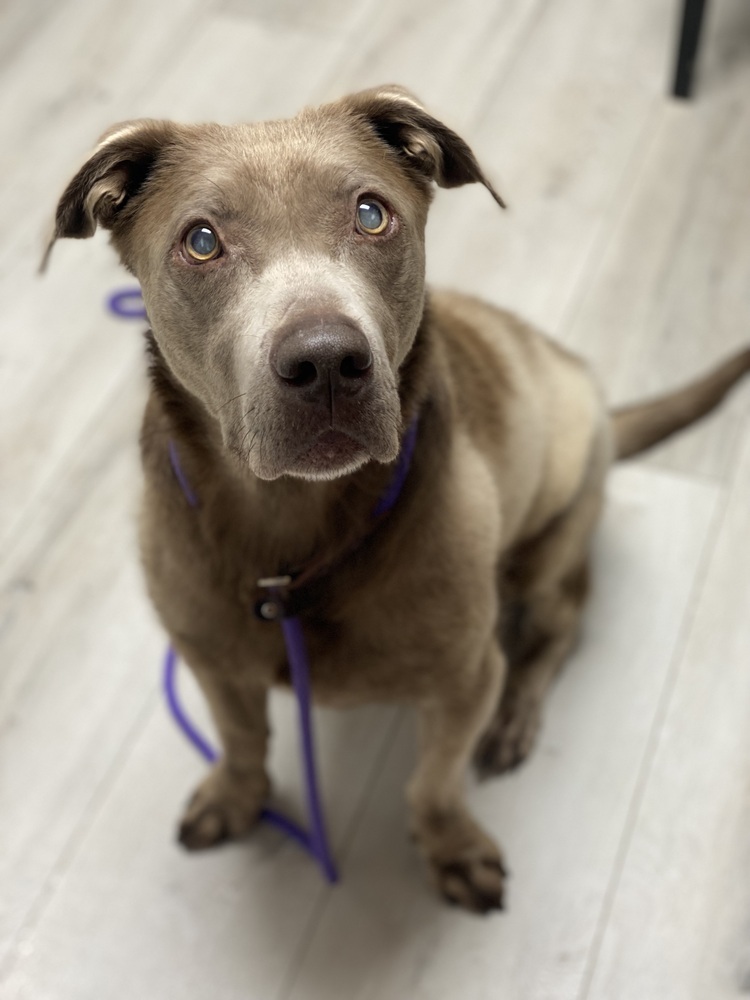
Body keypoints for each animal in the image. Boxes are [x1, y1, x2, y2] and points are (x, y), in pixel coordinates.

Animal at [48, 88, 750, 916]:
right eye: (201, 240)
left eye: (371, 214)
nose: (325, 361)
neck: (293, 536)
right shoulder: (210, 657)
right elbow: (243, 738)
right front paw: (235, 793)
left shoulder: (465, 678)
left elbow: (432, 783)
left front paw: (450, 846)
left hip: (549, 545)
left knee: (560, 627)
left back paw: (517, 717)